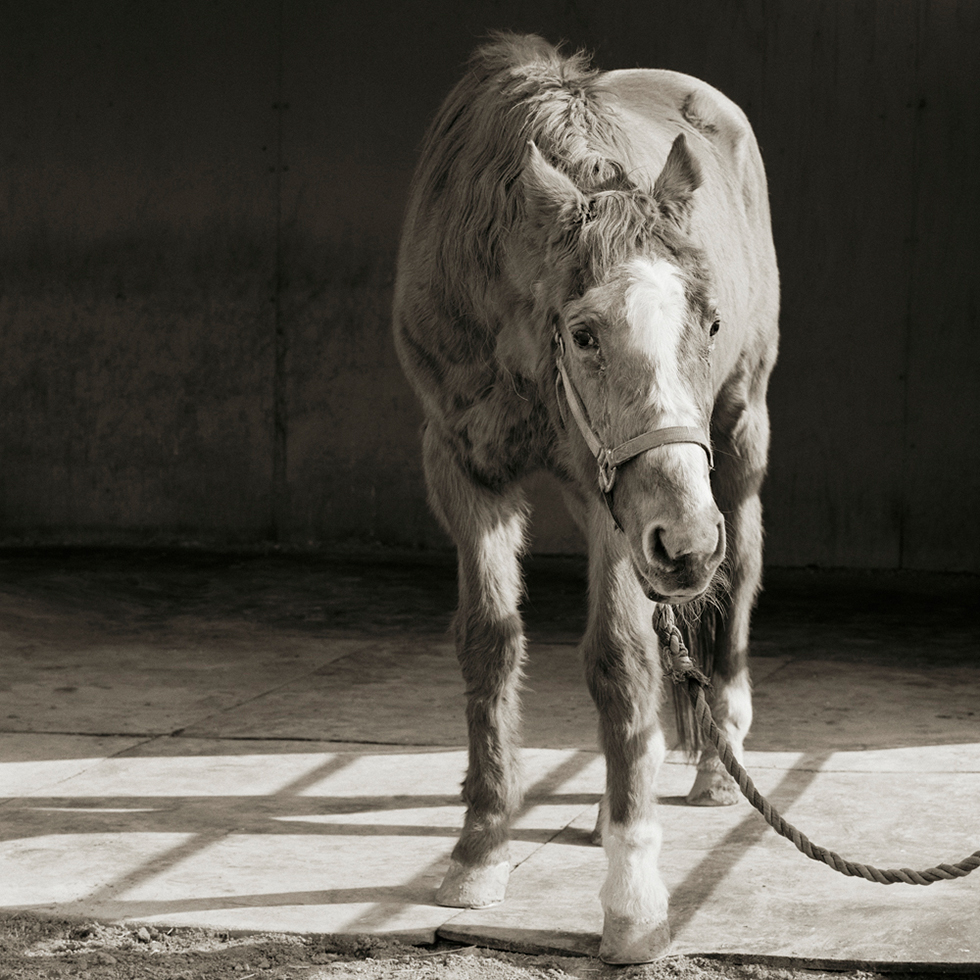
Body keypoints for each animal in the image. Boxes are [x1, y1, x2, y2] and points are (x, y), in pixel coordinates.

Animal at [390, 32, 780, 964]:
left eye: (710, 322)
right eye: (585, 332)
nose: (688, 543)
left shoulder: (626, 508)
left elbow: (619, 661)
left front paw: (634, 901)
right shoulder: (462, 467)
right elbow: (489, 644)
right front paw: (480, 848)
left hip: (734, 440)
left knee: (741, 574)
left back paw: (715, 762)